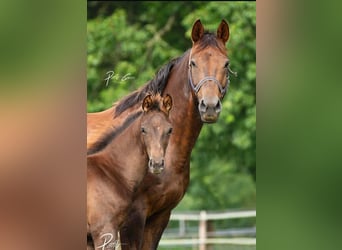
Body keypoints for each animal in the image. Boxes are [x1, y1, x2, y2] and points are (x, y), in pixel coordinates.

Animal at [87, 94, 172, 250]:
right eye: (143, 129)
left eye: (170, 130)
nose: (157, 163)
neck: (109, 173)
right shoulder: (105, 232)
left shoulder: (90, 238)